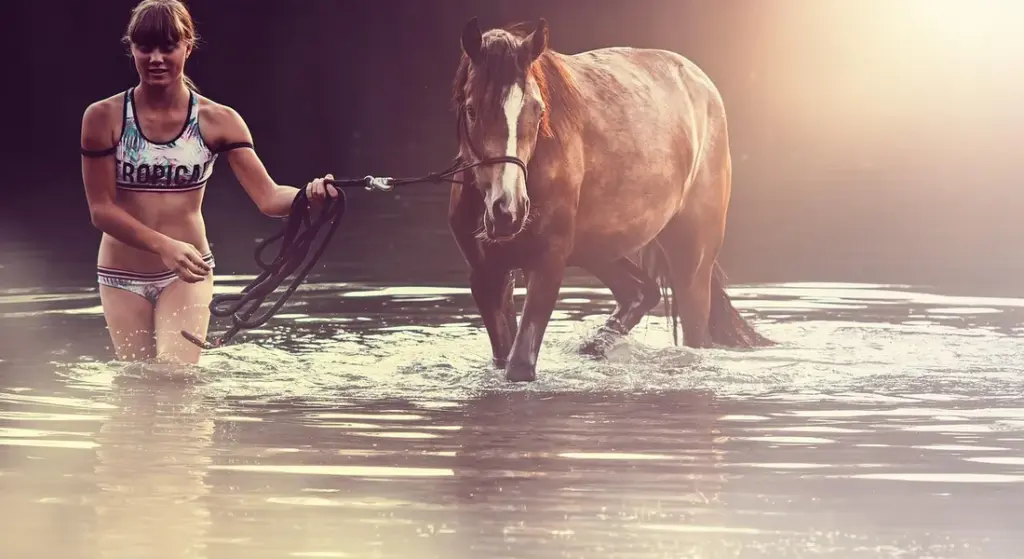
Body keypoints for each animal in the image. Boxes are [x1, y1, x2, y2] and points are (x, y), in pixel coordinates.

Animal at [447, 17, 773, 383]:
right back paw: (596, 346)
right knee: (641, 291)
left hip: (692, 263)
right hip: (596, 249)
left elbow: (519, 366)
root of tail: (701, 83)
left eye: (537, 109)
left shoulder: (547, 267)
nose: (508, 209)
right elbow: (504, 357)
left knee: (691, 332)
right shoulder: (487, 276)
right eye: (471, 109)